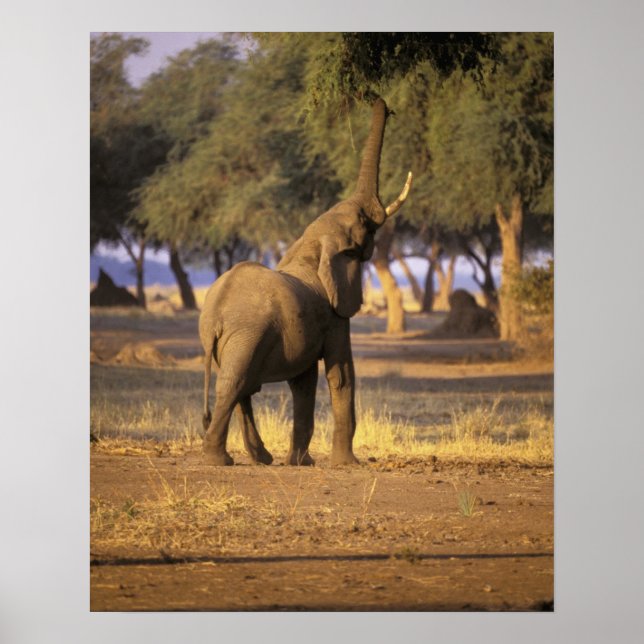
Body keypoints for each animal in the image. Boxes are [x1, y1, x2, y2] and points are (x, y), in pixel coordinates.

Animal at [199, 97, 412, 466]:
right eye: (364, 224)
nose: (375, 99)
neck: (311, 245)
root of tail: (214, 317)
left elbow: (304, 381)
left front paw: (302, 462)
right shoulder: (335, 316)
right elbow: (341, 374)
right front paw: (347, 464)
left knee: (241, 388)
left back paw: (260, 459)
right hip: (247, 334)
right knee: (234, 384)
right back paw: (219, 460)